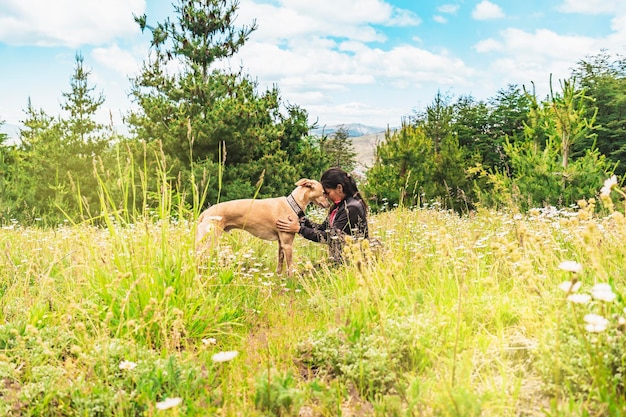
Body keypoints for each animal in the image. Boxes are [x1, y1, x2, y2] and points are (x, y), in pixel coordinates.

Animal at [196, 178, 330, 272]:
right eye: (324, 192)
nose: (329, 205)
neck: (292, 204)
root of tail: (205, 212)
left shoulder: (281, 243)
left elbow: (280, 264)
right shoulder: (287, 244)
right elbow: (290, 267)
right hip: (210, 241)